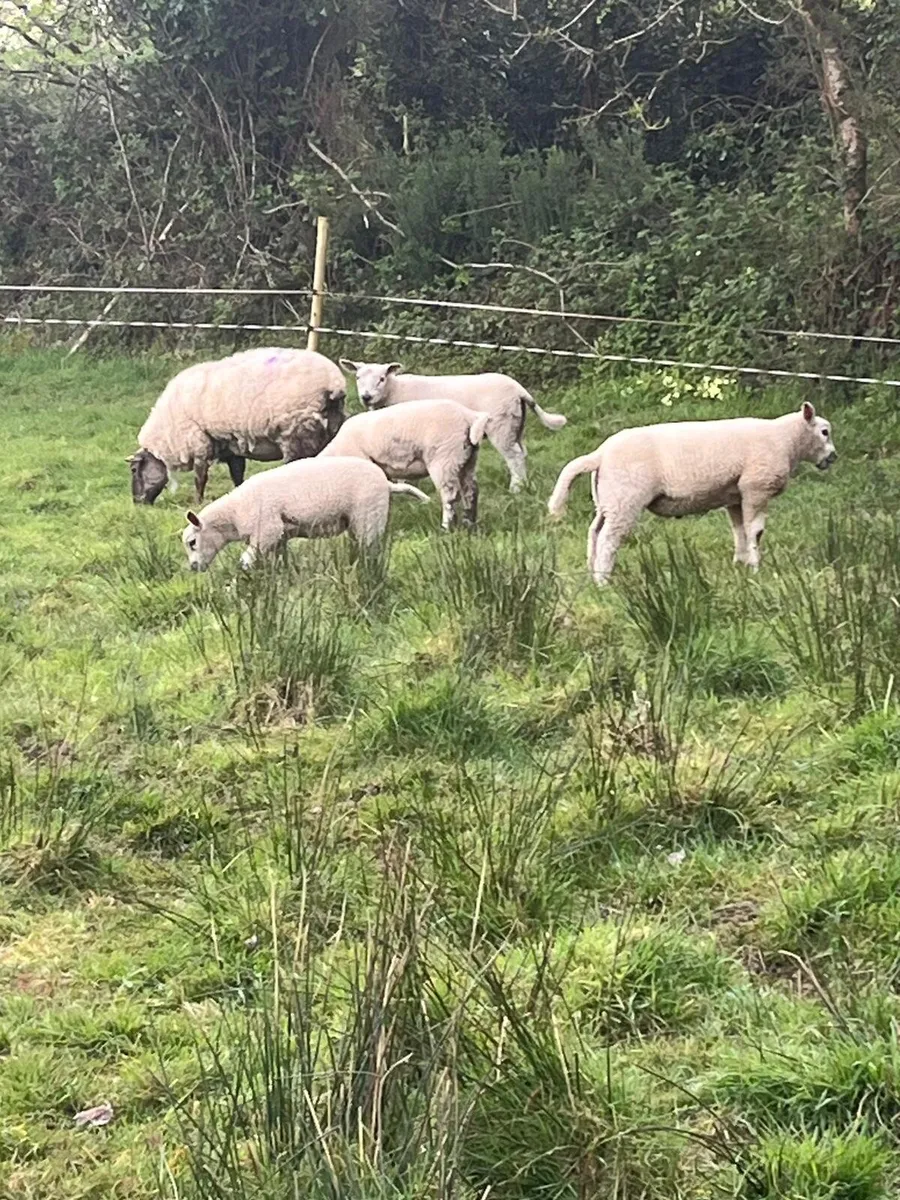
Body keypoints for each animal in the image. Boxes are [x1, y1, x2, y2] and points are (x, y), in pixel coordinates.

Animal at [129, 347, 346, 506]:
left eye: (133, 470)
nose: (137, 504)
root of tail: (333, 383)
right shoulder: (232, 445)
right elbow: (237, 474)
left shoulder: (199, 444)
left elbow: (200, 478)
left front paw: (197, 503)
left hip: (296, 434)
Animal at [181, 456, 429, 572]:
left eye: (193, 542)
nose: (193, 568)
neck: (234, 512)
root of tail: (387, 483)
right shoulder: (278, 537)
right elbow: (280, 561)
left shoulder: (266, 532)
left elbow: (245, 562)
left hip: (370, 516)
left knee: (371, 551)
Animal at [318, 399, 490, 531]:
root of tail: (469, 416)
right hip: (467, 460)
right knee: (471, 491)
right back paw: (469, 523)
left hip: (444, 458)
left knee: (450, 496)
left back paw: (446, 527)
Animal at [338, 359, 566, 493]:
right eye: (357, 377)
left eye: (382, 378)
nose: (366, 397)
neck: (395, 389)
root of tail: (519, 390)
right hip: (516, 425)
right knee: (522, 452)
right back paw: (524, 484)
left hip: (500, 425)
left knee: (514, 456)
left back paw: (515, 489)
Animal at [547, 401, 837, 585]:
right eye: (824, 432)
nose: (833, 457)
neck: (784, 440)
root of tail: (600, 453)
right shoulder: (756, 489)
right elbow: (755, 531)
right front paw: (756, 567)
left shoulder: (736, 495)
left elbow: (739, 531)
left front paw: (740, 563)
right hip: (625, 500)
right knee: (609, 539)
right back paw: (604, 581)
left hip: (609, 500)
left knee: (595, 533)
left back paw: (592, 573)